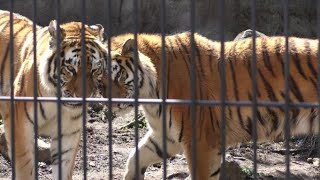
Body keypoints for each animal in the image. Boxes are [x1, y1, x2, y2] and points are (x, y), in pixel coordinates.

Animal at [0, 10, 107, 180]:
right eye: (70, 69)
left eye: (95, 69)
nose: (83, 96)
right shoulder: (20, 126)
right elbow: (25, 168)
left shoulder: (69, 133)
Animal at [105, 32, 320, 180]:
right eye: (100, 80)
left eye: (120, 76)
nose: (111, 103)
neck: (150, 96)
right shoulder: (166, 136)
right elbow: (135, 156)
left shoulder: (200, 140)